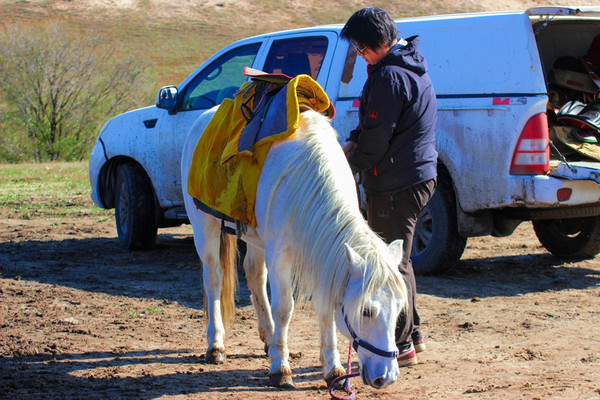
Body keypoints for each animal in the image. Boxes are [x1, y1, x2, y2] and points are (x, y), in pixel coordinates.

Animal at [180, 107, 408, 390]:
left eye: (399, 309)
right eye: (366, 311)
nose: (386, 377)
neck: (306, 180)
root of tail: (203, 118)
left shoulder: (324, 258)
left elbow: (326, 310)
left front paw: (333, 368)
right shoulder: (280, 256)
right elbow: (284, 309)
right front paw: (280, 368)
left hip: (256, 238)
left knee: (254, 274)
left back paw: (268, 338)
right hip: (204, 226)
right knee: (213, 279)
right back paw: (216, 346)